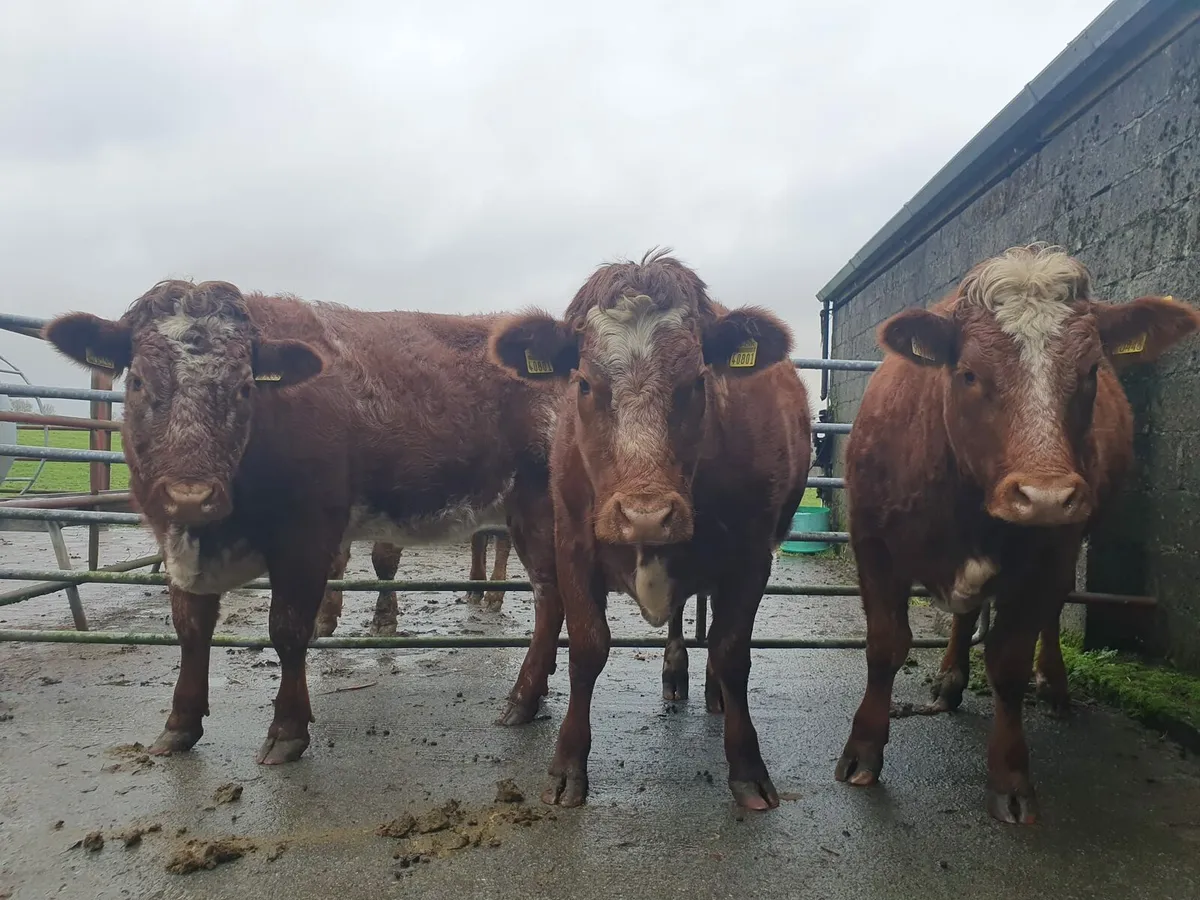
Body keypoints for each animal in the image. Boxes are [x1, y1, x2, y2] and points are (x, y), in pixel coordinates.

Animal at [314, 532, 513, 638]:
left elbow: (383, 558)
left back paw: (494, 595)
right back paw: (475, 590)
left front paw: (384, 620)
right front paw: (325, 619)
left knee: (503, 538)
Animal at [488, 249, 812, 810]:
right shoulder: (572, 544)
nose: (646, 514)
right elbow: (588, 648)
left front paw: (747, 766)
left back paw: (710, 691)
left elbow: (732, 650)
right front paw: (567, 764)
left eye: (697, 382)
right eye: (585, 383)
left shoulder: (752, 556)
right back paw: (675, 672)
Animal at [836, 243, 1200, 824]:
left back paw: (1053, 685)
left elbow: (1009, 662)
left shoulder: (1049, 557)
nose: (1045, 495)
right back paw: (949, 681)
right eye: (967, 373)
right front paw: (863, 753)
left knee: (1047, 616)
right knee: (964, 617)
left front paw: (1010, 777)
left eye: (1092, 369)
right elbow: (885, 647)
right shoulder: (874, 547)